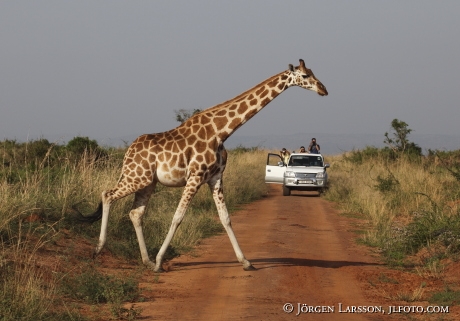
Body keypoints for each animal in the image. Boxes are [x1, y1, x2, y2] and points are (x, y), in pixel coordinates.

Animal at [79, 58, 328, 272]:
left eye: (313, 72)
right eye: (305, 75)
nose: (324, 90)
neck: (221, 132)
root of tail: (128, 152)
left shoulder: (215, 178)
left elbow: (226, 218)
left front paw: (246, 262)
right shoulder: (195, 177)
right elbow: (177, 217)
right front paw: (160, 262)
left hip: (148, 182)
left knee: (135, 213)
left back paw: (145, 260)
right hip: (136, 177)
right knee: (107, 194)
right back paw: (99, 250)